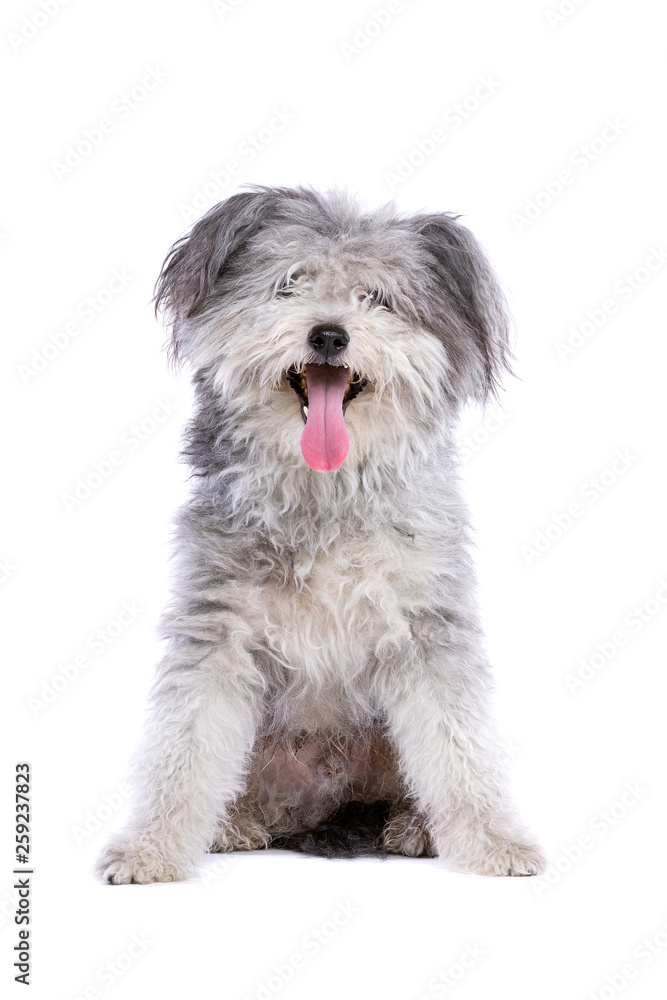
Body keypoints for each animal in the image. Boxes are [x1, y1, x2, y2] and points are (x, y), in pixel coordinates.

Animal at [98, 188, 548, 884]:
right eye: (291, 283)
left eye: (378, 298)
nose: (329, 333)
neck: (324, 493)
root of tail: (320, 796)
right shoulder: (216, 627)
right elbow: (185, 746)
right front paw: (151, 847)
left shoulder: (428, 629)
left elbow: (458, 746)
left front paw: (494, 842)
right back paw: (234, 823)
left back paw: (415, 828)